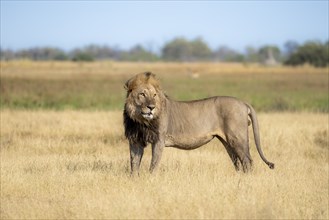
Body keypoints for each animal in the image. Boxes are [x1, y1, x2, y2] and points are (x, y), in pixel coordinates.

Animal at [121, 71, 272, 174]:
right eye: (142, 94)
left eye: (154, 95)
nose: (151, 107)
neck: (141, 121)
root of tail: (243, 102)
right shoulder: (135, 140)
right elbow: (134, 163)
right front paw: (135, 180)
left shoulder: (159, 139)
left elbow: (154, 164)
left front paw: (151, 179)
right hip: (227, 141)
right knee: (237, 161)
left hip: (237, 138)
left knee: (247, 160)